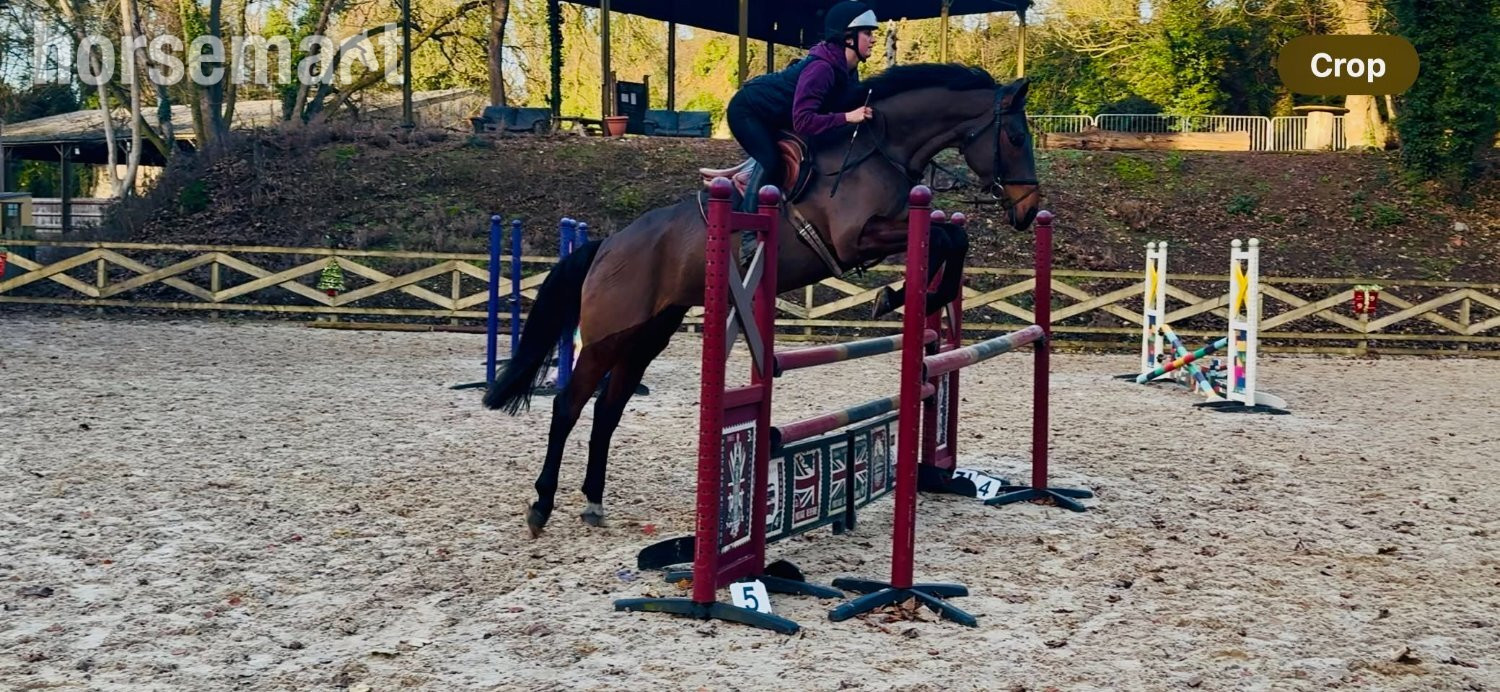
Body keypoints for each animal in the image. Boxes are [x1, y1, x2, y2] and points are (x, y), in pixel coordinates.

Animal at [484, 64, 1041, 537]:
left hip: (649, 335)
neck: (881, 148)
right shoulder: (855, 239)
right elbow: (943, 238)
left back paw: (593, 501)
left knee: (607, 408)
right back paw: (542, 504)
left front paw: (912, 295)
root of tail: (608, 244)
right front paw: (894, 296)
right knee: (568, 406)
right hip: (607, 337)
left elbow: (953, 239)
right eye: (1015, 137)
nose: (1028, 211)